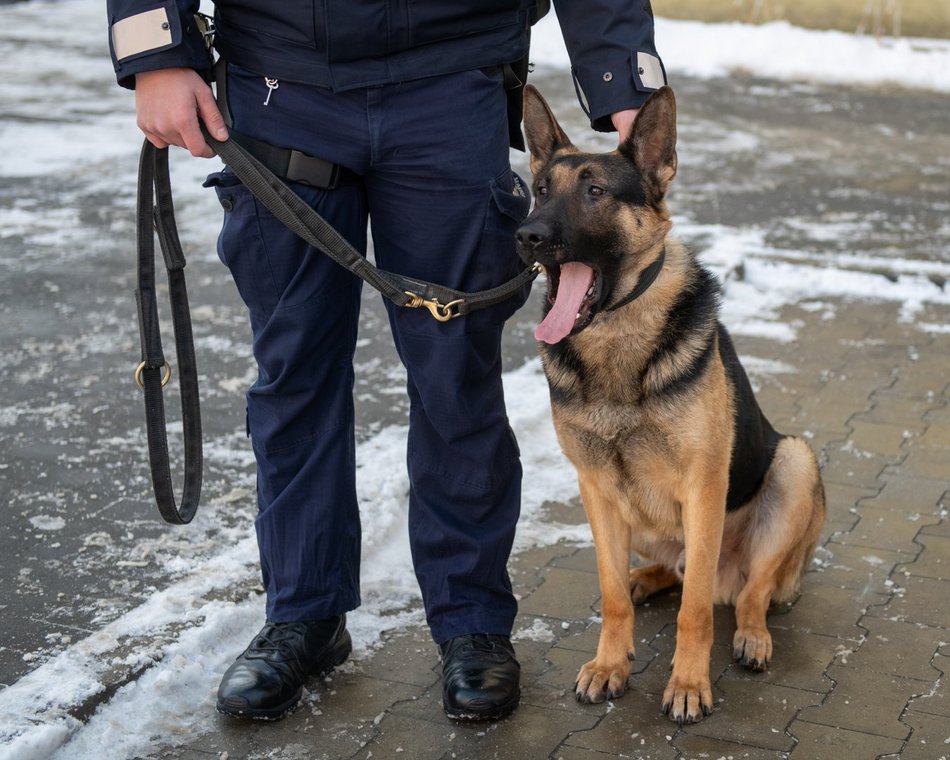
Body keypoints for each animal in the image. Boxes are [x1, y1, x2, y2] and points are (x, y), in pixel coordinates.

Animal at [512, 84, 824, 724]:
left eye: (596, 192)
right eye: (540, 190)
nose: (527, 235)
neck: (616, 342)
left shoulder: (703, 487)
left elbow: (696, 611)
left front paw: (687, 684)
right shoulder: (596, 487)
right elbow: (611, 595)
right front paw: (610, 665)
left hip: (795, 465)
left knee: (747, 591)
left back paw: (752, 634)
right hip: (639, 516)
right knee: (674, 572)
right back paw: (645, 577)